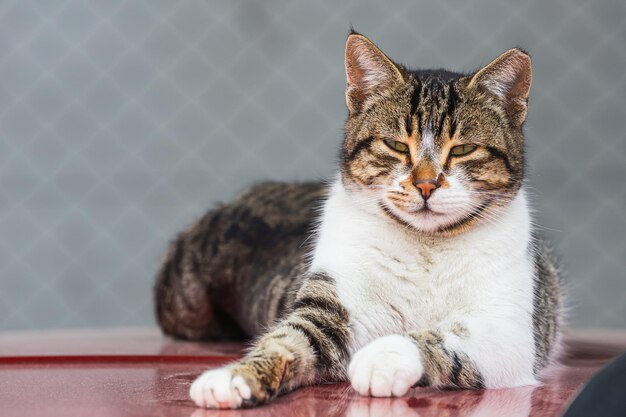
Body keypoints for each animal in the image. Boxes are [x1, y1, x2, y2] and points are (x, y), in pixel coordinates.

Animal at [155, 33, 560, 410]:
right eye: (396, 145)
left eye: (463, 149)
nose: (426, 184)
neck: (426, 248)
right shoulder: (335, 305)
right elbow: (288, 340)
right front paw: (233, 377)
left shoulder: (510, 331)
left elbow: (441, 336)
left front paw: (384, 357)